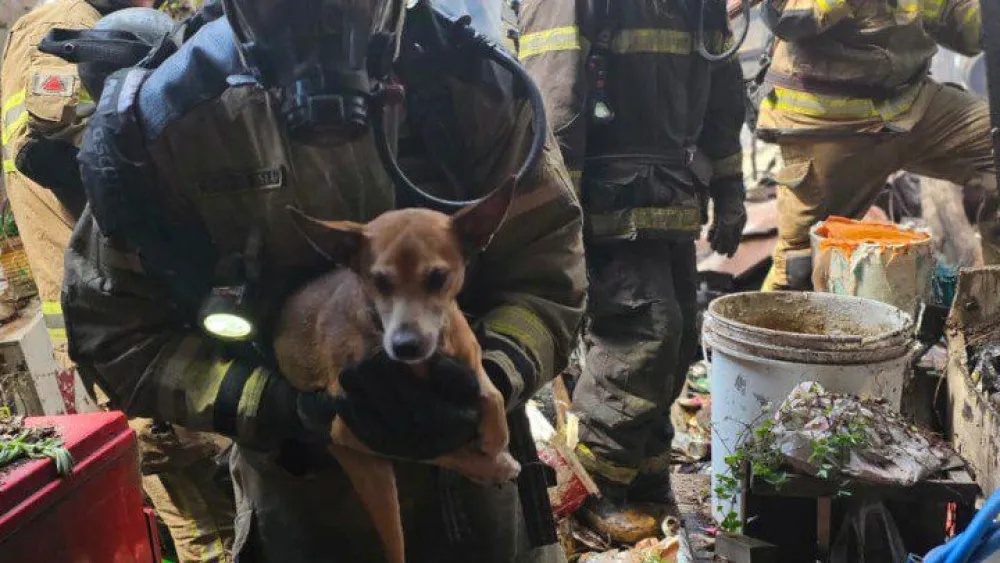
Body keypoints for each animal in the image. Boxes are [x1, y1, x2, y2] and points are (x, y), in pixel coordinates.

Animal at [274, 179, 521, 563]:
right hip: (370, 475)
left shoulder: (467, 352)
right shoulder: (357, 430)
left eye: (437, 278)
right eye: (378, 281)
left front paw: (495, 434)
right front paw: (492, 461)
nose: (405, 346)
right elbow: (431, 448)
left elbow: (489, 391)